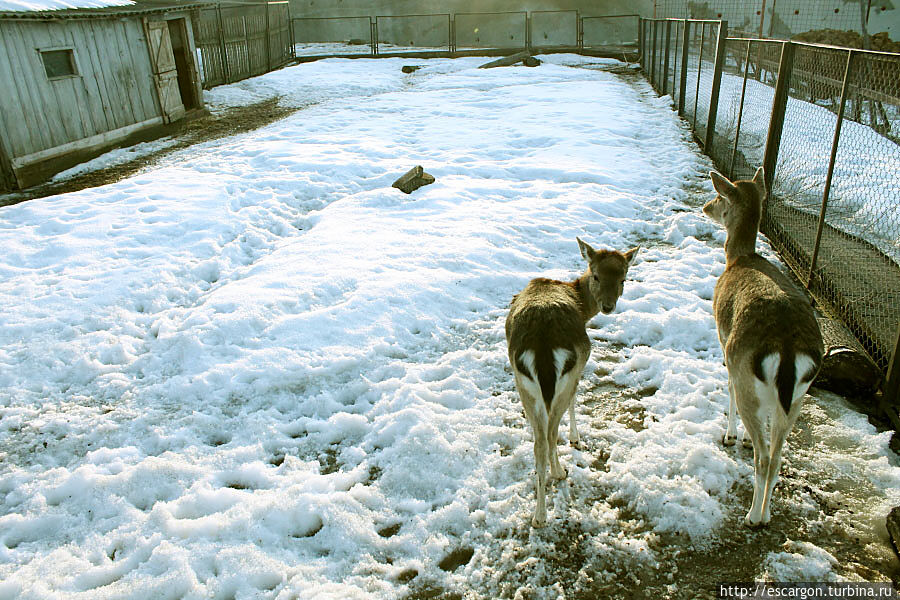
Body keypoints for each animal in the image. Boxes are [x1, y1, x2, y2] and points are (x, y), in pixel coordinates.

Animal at [506, 237, 640, 528]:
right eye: (597, 275)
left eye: (624, 278)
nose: (608, 307)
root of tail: (541, 345)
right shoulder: (581, 364)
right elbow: (576, 399)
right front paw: (576, 438)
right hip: (565, 374)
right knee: (549, 434)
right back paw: (558, 475)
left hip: (521, 381)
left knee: (539, 441)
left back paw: (538, 515)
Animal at [704, 166, 824, 528]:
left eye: (720, 196)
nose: (705, 207)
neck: (738, 258)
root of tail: (788, 348)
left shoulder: (725, 344)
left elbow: (728, 387)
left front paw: (732, 435)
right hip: (797, 398)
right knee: (776, 456)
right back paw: (767, 512)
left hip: (745, 369)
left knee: (762, 457)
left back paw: (753, 516)